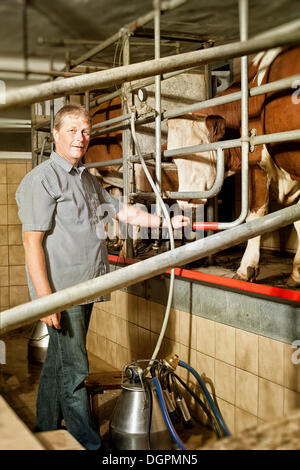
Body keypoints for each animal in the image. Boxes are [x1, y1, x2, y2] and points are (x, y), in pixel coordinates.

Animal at [168, 46, 300, 286]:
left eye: (200, 150)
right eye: (173, 158)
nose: (184, 199)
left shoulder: (257, 164)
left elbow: (256, 215)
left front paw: (246, 267)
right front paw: (296, 272)